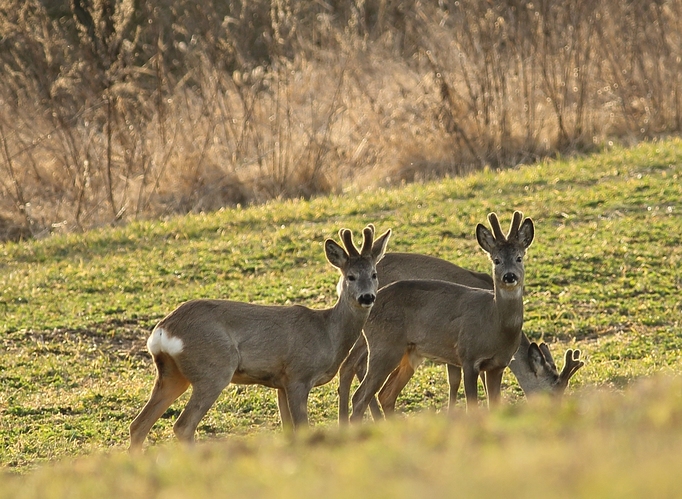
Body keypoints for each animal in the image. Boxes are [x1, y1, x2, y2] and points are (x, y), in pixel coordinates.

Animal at [127, 225, 388, 452]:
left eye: (374, 274)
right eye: (351, 276)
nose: (367, 297)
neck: (328, 334)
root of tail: (163, 330)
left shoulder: (280, 382)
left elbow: (288, 430)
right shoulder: (298, 375)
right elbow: (302, 428)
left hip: (172, 374)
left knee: (138, 425)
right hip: (213, 368)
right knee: (182, 425)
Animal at [338, 254, 580, 422]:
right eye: (552, 392)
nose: (556, 416)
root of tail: (341, 283)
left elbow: (454, 381)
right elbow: (461, 382)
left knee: (353, 366)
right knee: (354, 366)